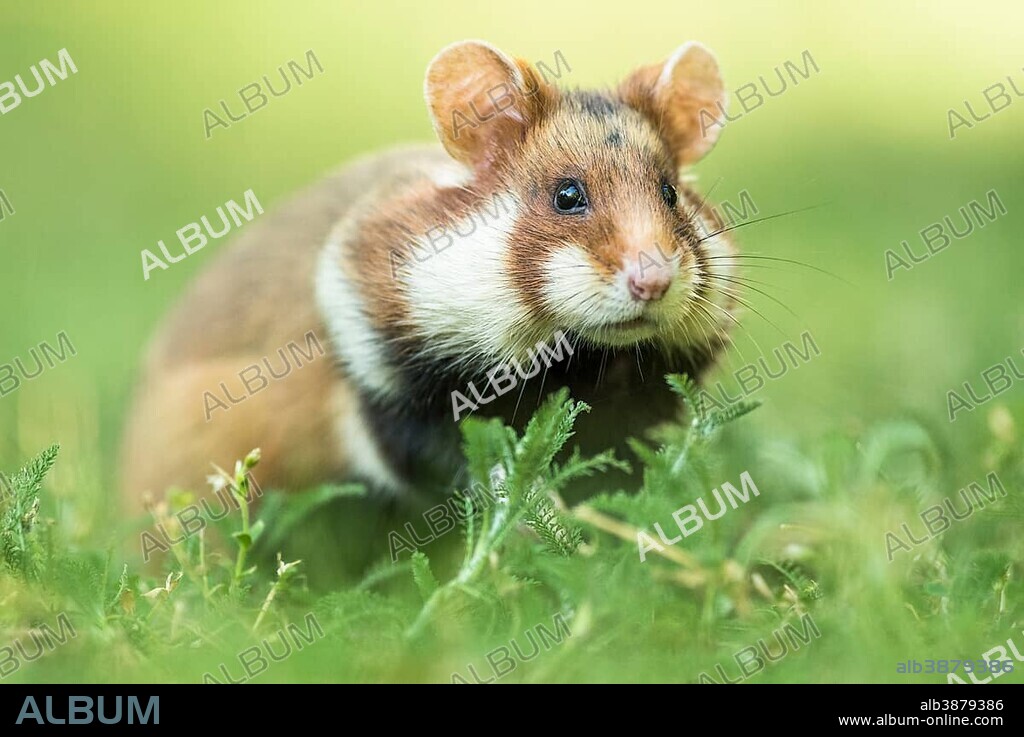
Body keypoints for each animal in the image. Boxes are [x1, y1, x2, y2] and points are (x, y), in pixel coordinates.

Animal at [119, 40, 740, 515]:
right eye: (567, 195)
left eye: (670, 193)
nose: (653, 283)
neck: (579, 360)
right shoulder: (388, 390)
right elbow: (466, 464)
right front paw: (545, 520)